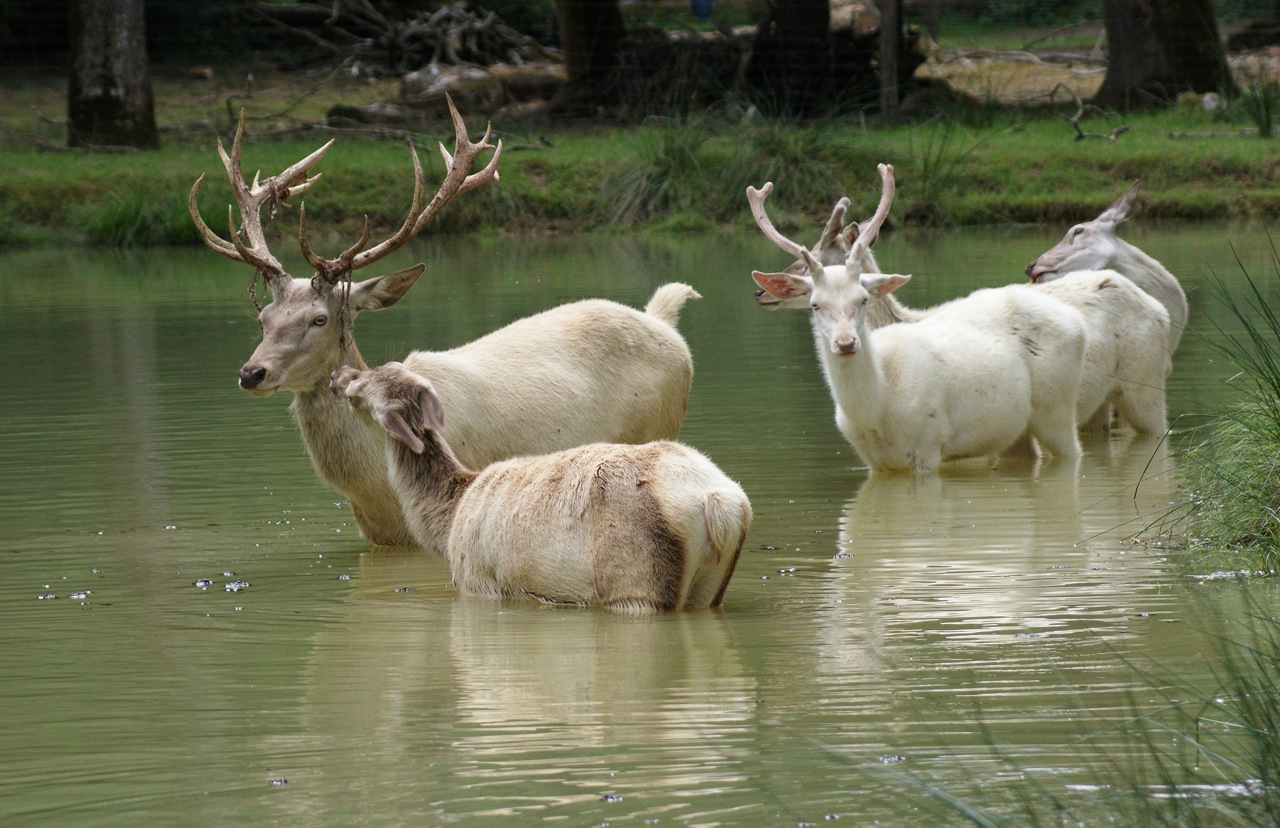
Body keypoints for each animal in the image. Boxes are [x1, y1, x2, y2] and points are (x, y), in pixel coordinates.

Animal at [192, 98, 701, 550]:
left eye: (320, 318)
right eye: (263, 318)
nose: (251, 373)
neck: (377, 493)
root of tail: (663, 321)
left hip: (661, 422)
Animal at [330, 366, 747, 611]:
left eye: (360, 389)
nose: (339, 374)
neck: (447, 525)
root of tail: (720, 505)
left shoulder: (477, 582)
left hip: (638, 582)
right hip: (710, 587)